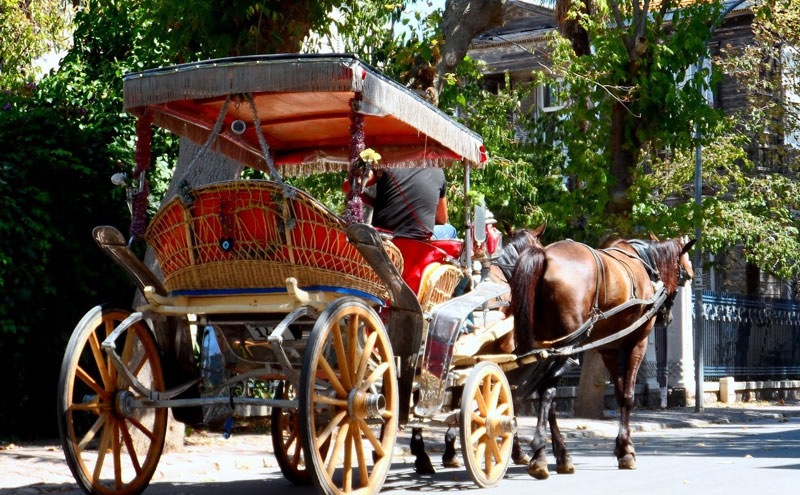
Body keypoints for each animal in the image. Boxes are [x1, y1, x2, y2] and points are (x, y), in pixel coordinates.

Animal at [512, 234, 692, 478]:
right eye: (682, 272)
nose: (667, 318)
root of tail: (544, 255)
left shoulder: (610, 349)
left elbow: (618, 392)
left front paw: (622, 447)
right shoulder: (637, 343)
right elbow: (628, 396)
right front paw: (626, 451)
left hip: (544, 345)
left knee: (544, 396)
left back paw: (560, 455)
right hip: (565, 345)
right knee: (547, 393)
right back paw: (540, 454)